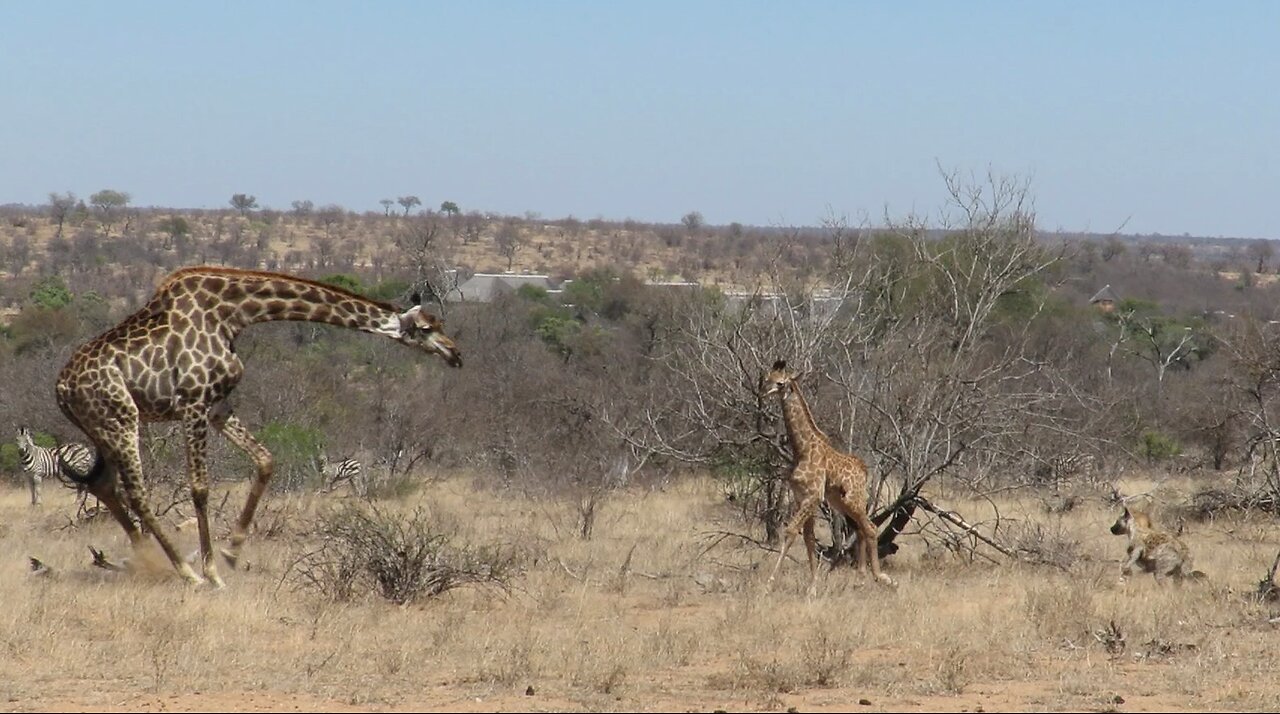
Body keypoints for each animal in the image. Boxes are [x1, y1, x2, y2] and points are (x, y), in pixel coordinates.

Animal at [57, 266, 465, 591]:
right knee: (136, 492)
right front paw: (213, 573)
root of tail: (61, 389)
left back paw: (146, 560)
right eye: (426, 328)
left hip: (103, 428)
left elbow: (266, 460)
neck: (232, 314)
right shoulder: (193, 402)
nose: (456, 354)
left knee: (103, 484)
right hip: (122, 419)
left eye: (441, 324)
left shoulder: (218, 406)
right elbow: (200, 488)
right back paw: (186, 571)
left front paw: (232, 551)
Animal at [757, 360, 890, 596]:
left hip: (853, 500)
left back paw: (882, 577)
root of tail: (864, 470)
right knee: (861, 529)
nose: (762, 392)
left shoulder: (813, 496)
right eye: (766, 378)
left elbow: (790, 531)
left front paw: (769, 584)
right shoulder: (801, 497)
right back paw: (860, 580)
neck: (801, 450)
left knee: (870, 528)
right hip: (840, 501)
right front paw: (812, 586)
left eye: (780, 383)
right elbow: (809, 539)